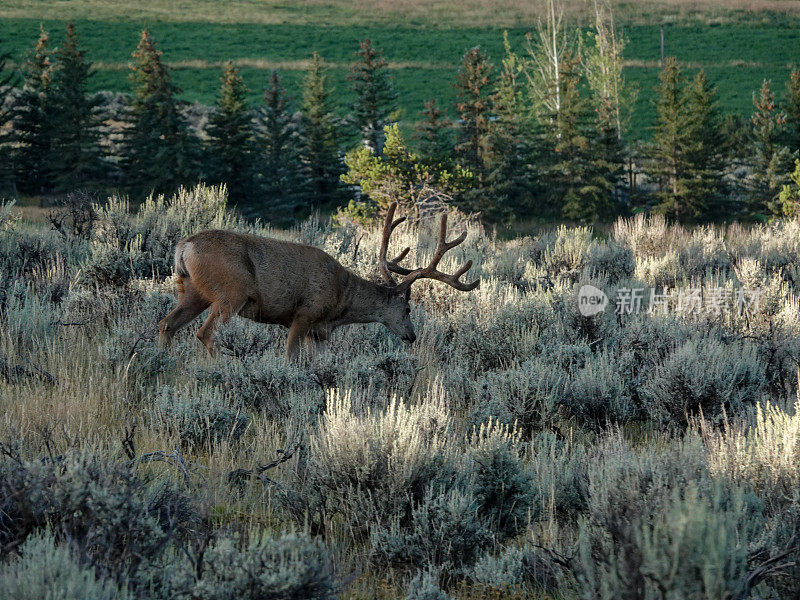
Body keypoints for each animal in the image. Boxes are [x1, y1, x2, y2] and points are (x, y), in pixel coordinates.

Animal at [159, 204, 478, 358]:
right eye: (408, 309)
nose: (412, 336)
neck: (340, 301)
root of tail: (183, 247)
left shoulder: (320, 332)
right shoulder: (304, 314)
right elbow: (291, 357)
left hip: (192, 291)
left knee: (167, 324)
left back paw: (163, 363)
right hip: (230, 292)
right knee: (205, 333)